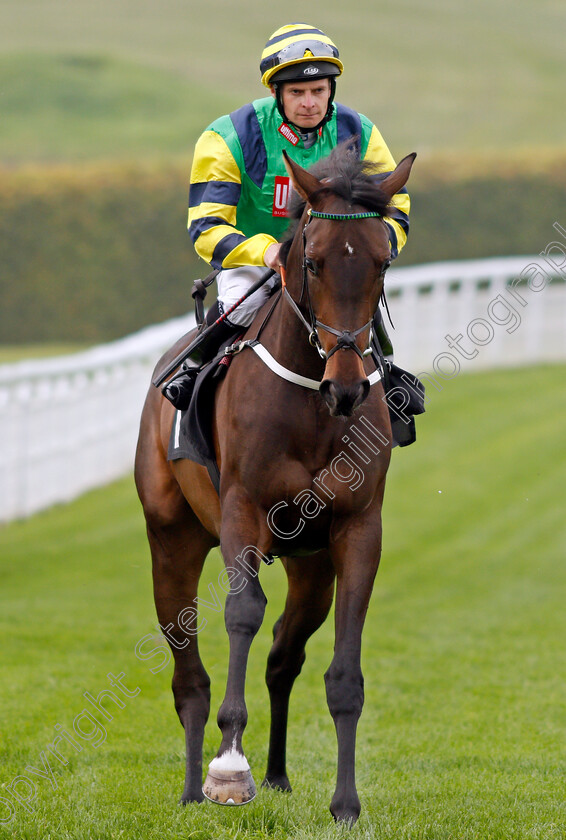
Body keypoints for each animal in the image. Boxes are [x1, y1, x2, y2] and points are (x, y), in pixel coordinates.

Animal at [134, 143, 418, 820]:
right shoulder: (242, 510)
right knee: (189, 673)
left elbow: (343, 671)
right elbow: (242, 613)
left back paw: (280, 775)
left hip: (309, 566)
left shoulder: (356, 529)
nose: (346, 387)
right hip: (172, 540)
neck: (312, 406)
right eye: (312, 263)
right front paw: (229, 768)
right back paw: (194, 787)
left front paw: (346, 804)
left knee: (284, 657)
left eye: (382, 264)